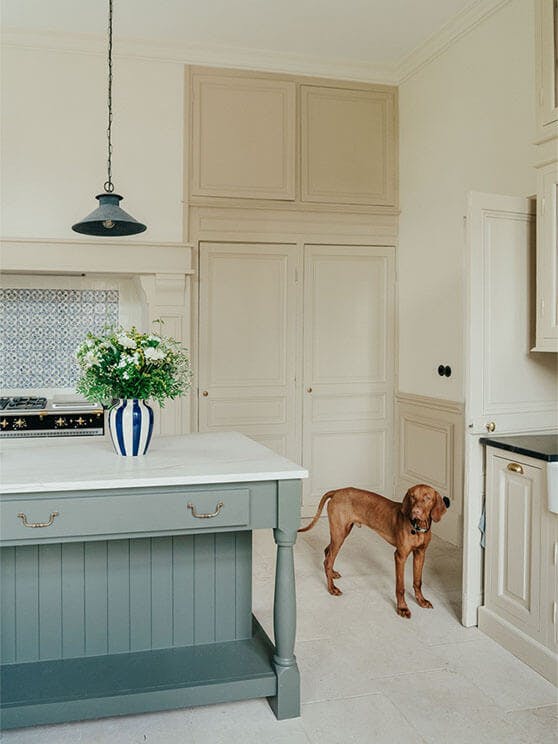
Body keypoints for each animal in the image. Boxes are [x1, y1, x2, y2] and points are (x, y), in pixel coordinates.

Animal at [302, 482, 450, 616]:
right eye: (413, 497)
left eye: (427, 497)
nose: (415, 511)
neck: (418, 528)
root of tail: (337, 491)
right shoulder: (400, 556)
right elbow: (400, 587)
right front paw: (402, 608)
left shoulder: (420, 553)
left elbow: (418, 581)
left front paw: (421, 600)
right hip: (339, 533)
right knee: (329, 559)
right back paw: (331, 588)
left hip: (342, 532)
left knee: (327, 552)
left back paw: (331, 573)